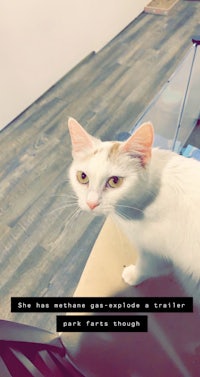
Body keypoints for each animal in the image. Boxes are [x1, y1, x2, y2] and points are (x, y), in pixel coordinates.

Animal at [68, 117, 200, 300]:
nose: (91, 203)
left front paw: (132, 275)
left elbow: (149, 266)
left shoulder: (157, 253)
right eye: (82, 177)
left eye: (115, 181)